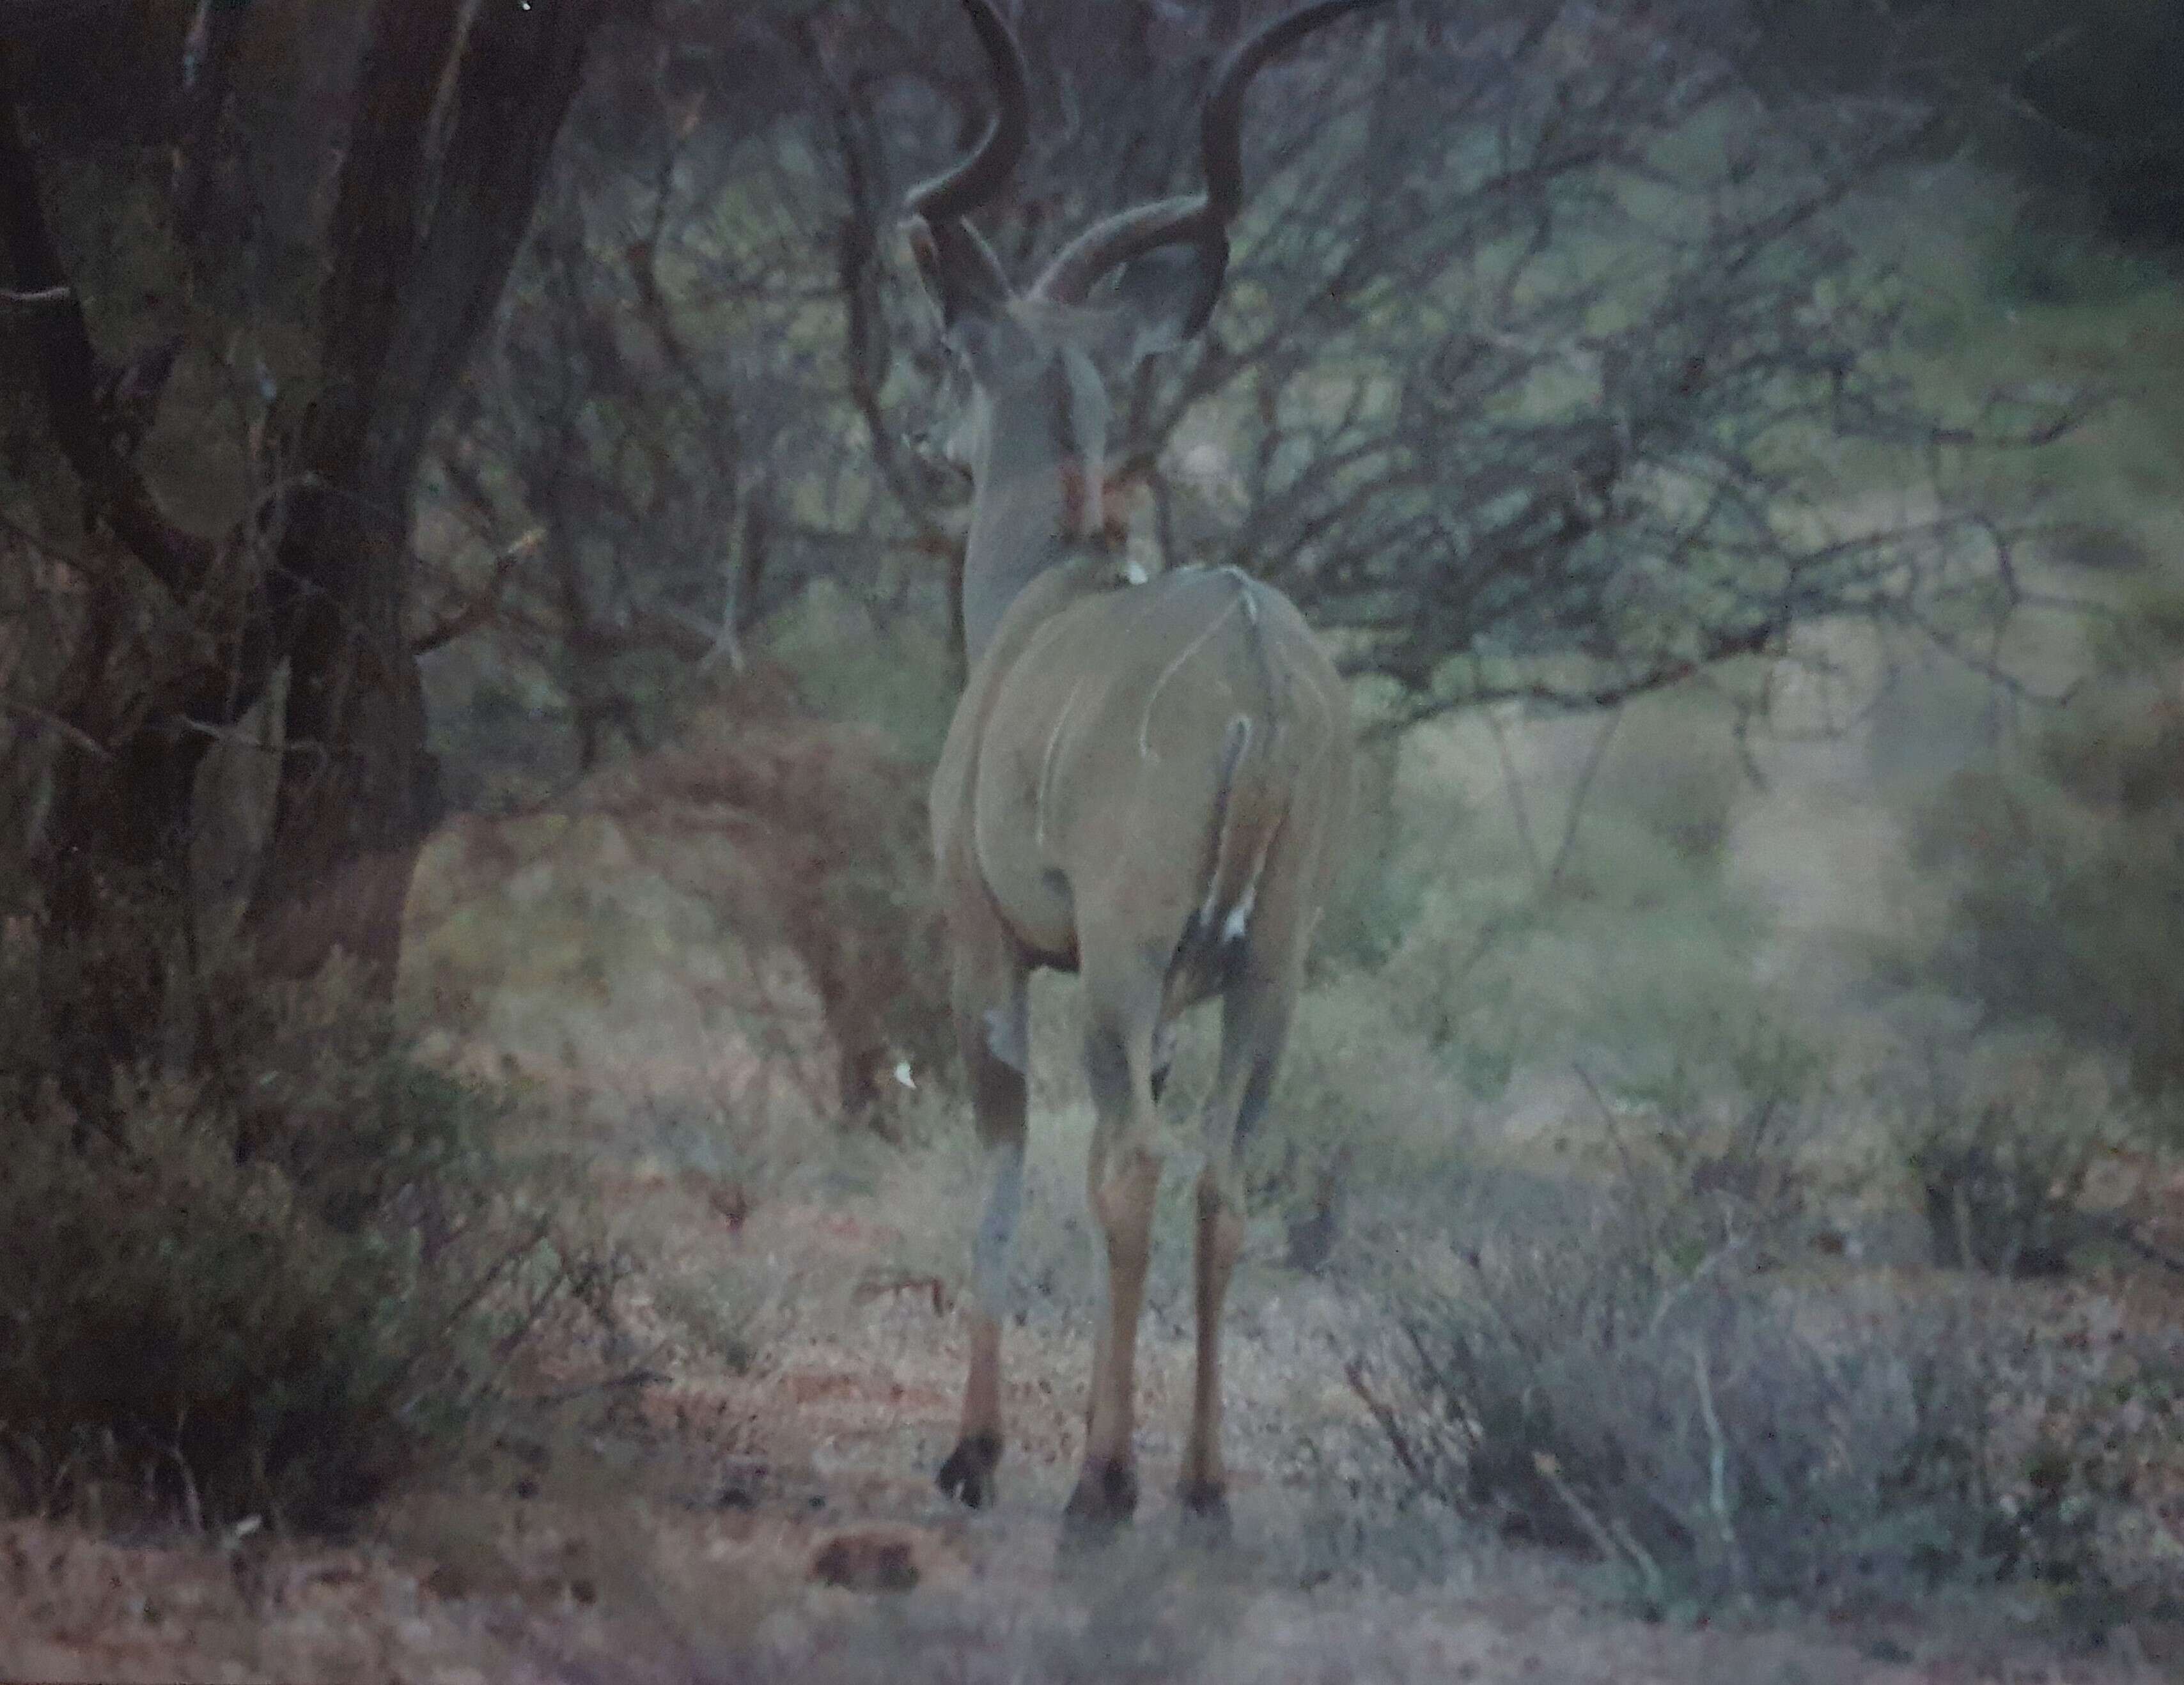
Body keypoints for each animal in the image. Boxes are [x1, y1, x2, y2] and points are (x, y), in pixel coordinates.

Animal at [909, 0, 1380, 1536]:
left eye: (948, 347)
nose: (930, 439)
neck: (1043, 598)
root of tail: (1259, 672)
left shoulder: (992, 944)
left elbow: (1005, 1166)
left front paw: (976, 1451)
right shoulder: (1181, 995)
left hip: (1123, 962)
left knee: (1133, 1164)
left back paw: (1105, 1478)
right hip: (1268, 975)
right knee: (1221, 1180)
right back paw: (1202, 1478)